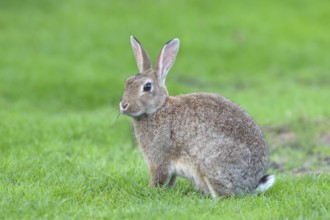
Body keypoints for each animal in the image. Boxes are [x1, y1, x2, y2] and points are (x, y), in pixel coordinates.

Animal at [120, 36, 274, 198]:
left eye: (147, 87)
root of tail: (251, 185)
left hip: (212, 164)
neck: (158, 109)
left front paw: (150, 190)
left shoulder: (159, 158)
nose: (123, 105)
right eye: (127, 82)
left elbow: (159, 177)